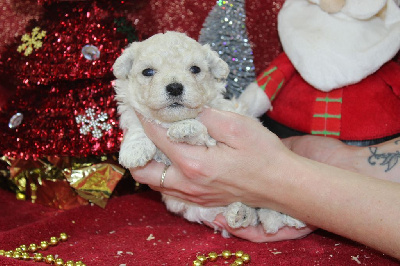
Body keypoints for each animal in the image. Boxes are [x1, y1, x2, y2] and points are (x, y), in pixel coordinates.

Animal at [111, 31, 304, 237]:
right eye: (148, 72)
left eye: (195, 69)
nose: (175, 87)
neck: (171, 121)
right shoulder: (135, 115)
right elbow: (137, 127)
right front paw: (134, 150)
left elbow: (201, 132)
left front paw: (186, 128)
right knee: (258, 216)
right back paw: (240, 213)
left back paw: (290, 217)